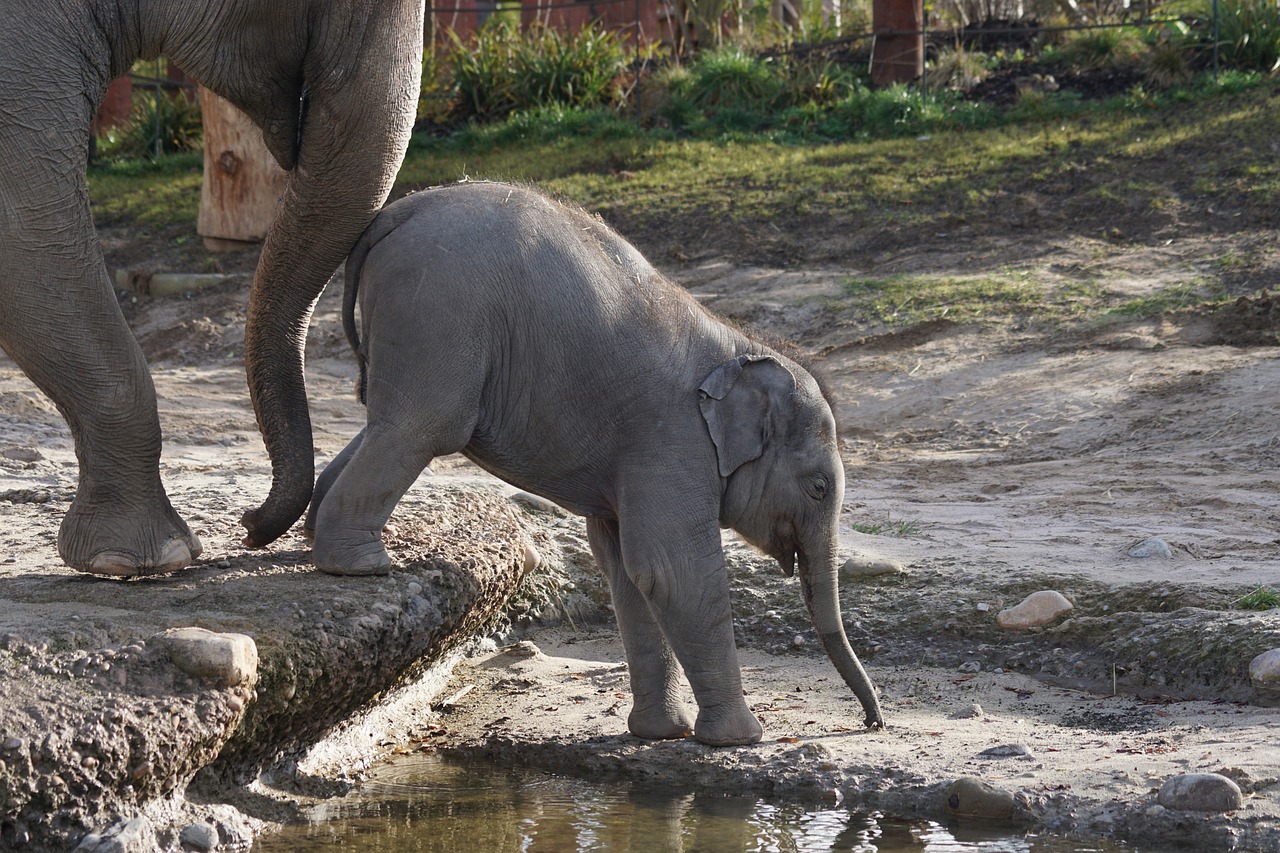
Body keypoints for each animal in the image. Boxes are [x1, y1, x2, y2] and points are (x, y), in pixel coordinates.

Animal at [309, 180, 880, 742]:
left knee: (386, 424)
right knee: (423, 427)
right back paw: (361, 565)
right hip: (438, 312)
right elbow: (671, 569)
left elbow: (626, 570)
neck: (743, 348)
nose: (871, 722)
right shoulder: (672, 439)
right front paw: (740, 738)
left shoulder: (635, 459)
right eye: (818, 488)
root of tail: (398, 211)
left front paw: (660, 733)